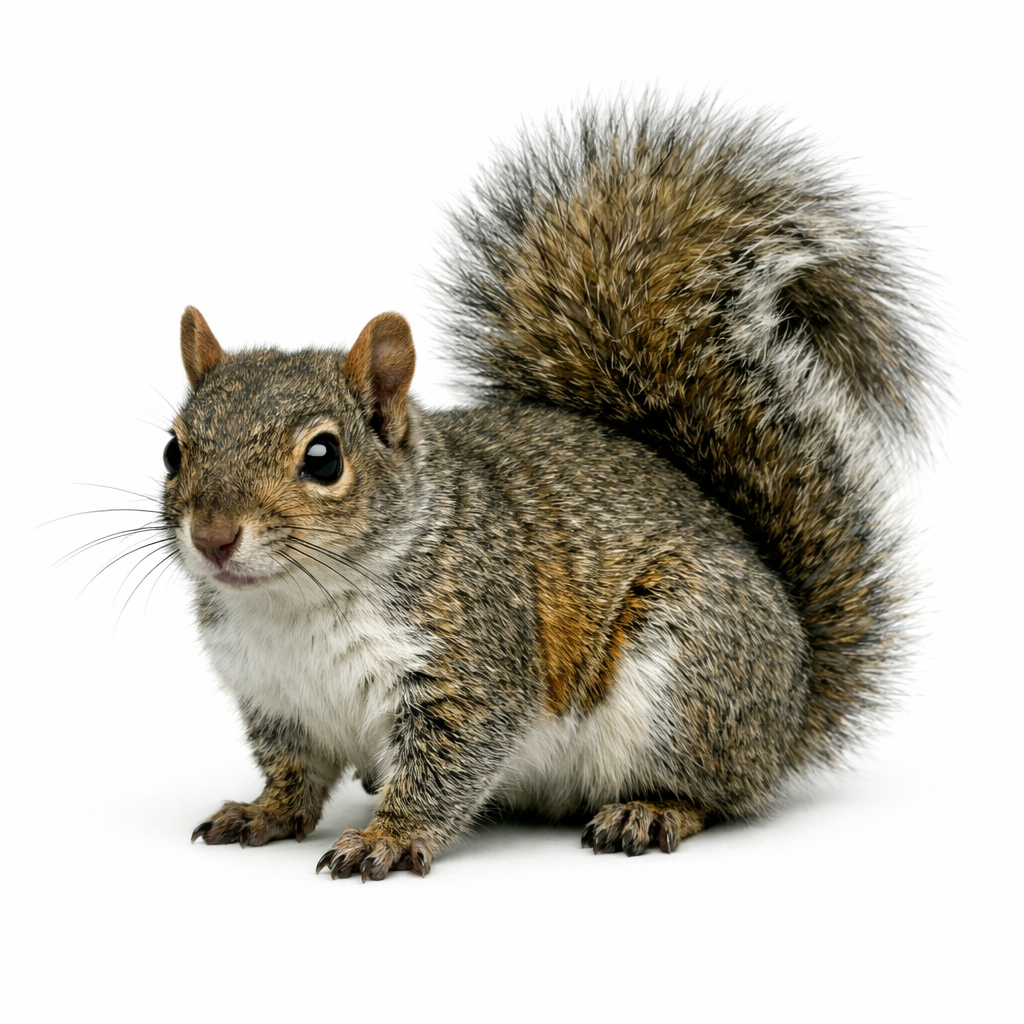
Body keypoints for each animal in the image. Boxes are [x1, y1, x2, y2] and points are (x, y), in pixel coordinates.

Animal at [174, 97, 939, 880]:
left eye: (324, 458)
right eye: (174, 450)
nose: (212, 538)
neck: (294, 606)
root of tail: (791, 711)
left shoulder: (470, 666)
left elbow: (444, 767)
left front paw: (386, 837)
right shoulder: (275, 700)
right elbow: (294, 773)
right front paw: (263, 811)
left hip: (687, 673)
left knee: (716, 793)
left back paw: (651, 811)